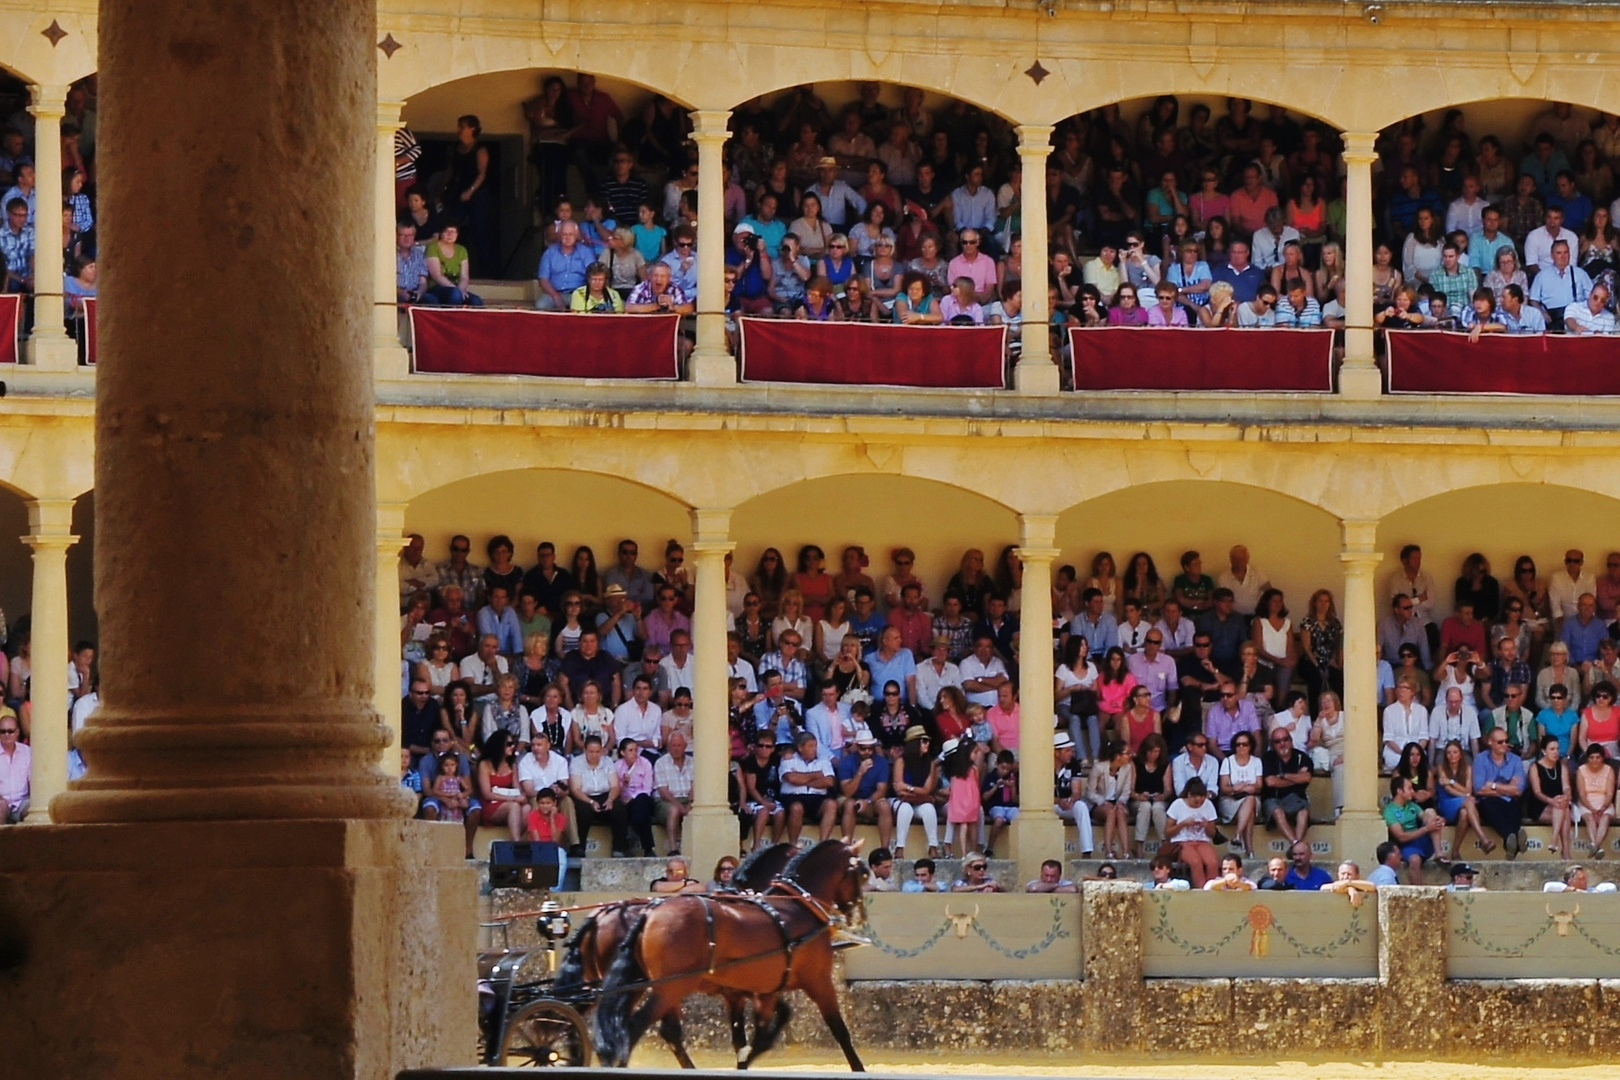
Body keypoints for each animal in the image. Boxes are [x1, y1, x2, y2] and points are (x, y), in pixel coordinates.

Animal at [596, 841, 868, 1068]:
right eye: (861, 873)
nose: (860, 916)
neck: (797, 906)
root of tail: (647, 914)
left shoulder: (758, 991)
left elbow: (755, 1036)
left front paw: (744, 1061)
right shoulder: (818, 982)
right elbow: (839, 1030)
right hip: (668, 988)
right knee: (638, 1029)